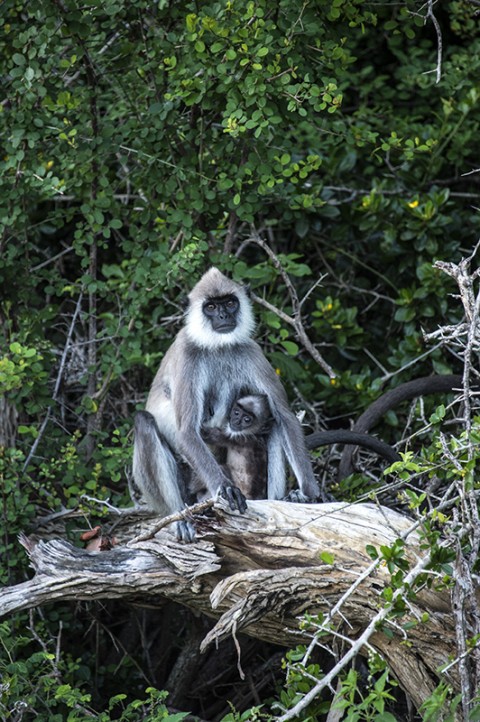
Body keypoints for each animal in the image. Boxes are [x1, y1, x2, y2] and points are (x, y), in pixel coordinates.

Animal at [132, 268, 318, 536]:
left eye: (230, 303)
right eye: (210, 306)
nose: (223, 315)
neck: (216, 346)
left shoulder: (249, 350)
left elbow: (284, 416)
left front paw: (311, 493)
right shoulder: (188, 353)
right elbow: (186, 432)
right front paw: (226, 488)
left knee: (272, 424)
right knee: (144, 420)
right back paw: (180, 517)